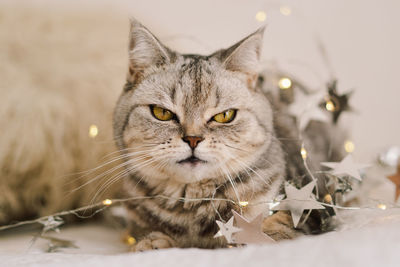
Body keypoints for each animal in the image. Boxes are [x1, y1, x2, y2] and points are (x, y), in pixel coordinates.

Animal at [112, 19, 344, 252]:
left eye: (224, 116)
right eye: (162, 113)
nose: (193, 139)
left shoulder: (309, 207)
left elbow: (280, 223)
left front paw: (264, 235)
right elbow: (145, 233)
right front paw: (153, 243)